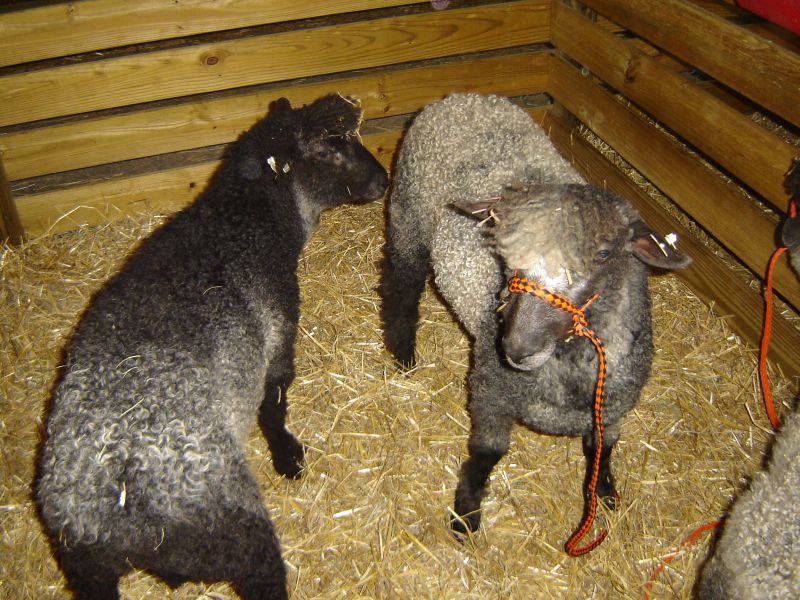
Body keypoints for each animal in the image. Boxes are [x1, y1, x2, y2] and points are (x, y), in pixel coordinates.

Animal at [34, 94, 390, 600]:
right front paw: (287, 456)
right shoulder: (279, 329)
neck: (240, 219)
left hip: (91, 566)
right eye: (327, 150)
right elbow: (273, 403)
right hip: (237, 530)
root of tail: (111, 517)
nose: (383, 181)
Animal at [378, 92, 692, 540]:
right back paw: (404, 353)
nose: (516, 348)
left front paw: (606, 493)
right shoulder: (491, 391)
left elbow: (604, 451)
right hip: (410, 213)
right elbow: (488, 452)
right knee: (401, 283)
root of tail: (463, 97)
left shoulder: (611, 410)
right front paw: (466, 514)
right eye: (506, 254)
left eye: (603, 254)